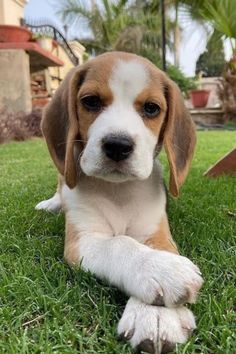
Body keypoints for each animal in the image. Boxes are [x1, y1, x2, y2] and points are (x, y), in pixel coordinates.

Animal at [35, 51, 203, 352]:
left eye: (151, 108)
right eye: (90, 101)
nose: (117, 145)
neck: (119, 191)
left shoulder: (157, 232)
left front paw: (156, 315)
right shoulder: (83, 240)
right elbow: (119, 243)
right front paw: (162, 270)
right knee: (60, 184)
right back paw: (51, 204)